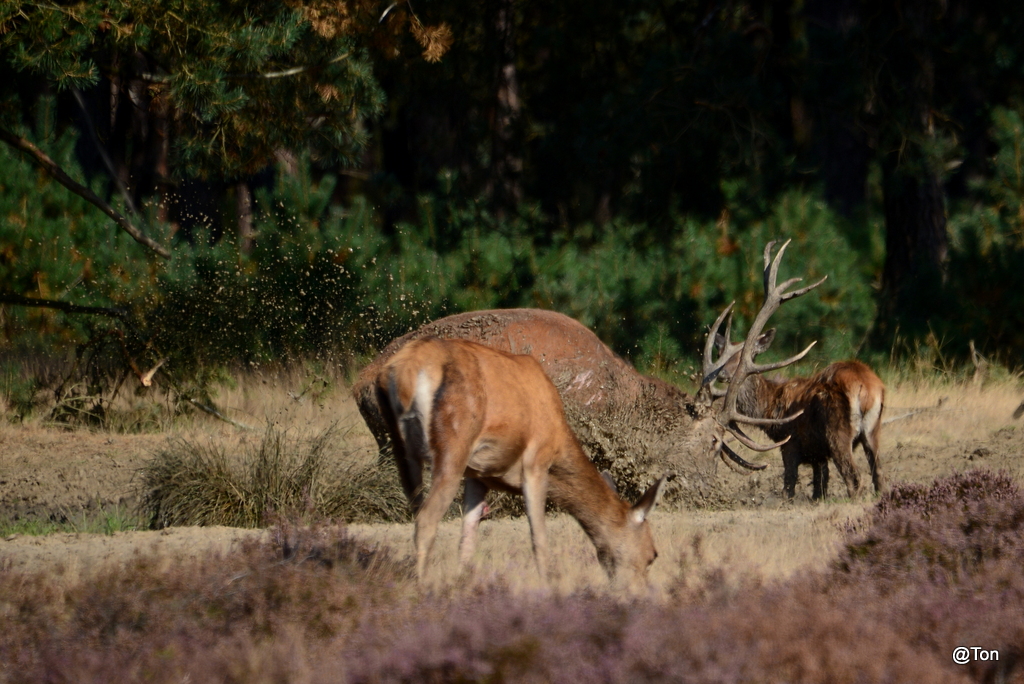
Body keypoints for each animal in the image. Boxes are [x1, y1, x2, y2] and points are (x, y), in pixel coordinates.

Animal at [372, 335, 667, 581]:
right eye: (652, 554)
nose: (639, 591)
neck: (560, 438)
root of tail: (405, 372)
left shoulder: (478, 474)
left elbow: (468, 537)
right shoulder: (536, 462)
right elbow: (539, 537)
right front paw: (547, 586)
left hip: (400, 449)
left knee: (416, 511)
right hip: (452, 446)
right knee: (426, 520)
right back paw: (423, 586)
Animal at [708, 329, 884, 497]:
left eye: (741, 357)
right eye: (719, 355)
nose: (722, 374)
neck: (769, 407)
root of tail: (865, 387)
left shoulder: (790, 442)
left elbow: (789, 484)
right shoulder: (817, 452)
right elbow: (819, 486)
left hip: (837, 431)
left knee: (854, 477)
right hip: (872, 431)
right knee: (878, 475)